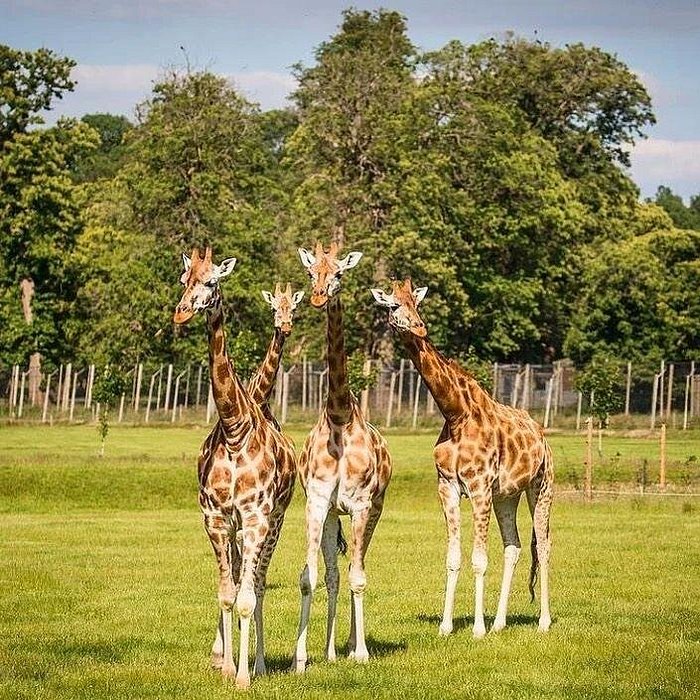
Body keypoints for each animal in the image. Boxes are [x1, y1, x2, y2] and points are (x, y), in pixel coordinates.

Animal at [173, 247, 296, 689]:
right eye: (184, 280)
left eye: (212, 281)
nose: (181, 313)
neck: (234, 429)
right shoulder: (215, 517)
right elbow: (226, 593)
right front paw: (224, 665)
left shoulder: (256, 517)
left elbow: (246, 597)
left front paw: (243, 675)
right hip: (239, 529)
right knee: (244, 578)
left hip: (275, 522)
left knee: (257, 583)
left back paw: (258, 664)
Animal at [372, 279, 553, 639]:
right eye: (393, 305)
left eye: (417, 303)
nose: (420, 326)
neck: (456, 414)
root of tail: (542, 436)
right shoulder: (448, 488)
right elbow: (453, 558)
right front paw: (446, 626)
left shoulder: (480, 487)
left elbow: (479, 559)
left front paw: (477, 629)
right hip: (507, 496)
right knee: (513, 546)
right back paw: (500, 623)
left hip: (541, 487)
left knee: (543, 546)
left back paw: (543, 621)